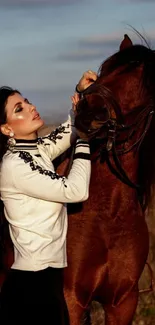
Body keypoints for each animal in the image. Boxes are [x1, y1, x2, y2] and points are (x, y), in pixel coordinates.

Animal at [56, 34, 155, 322]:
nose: (89, 111)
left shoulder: (122, 302)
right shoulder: (71, 299)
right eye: (107, 70)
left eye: (146, 85)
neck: (107, 214)